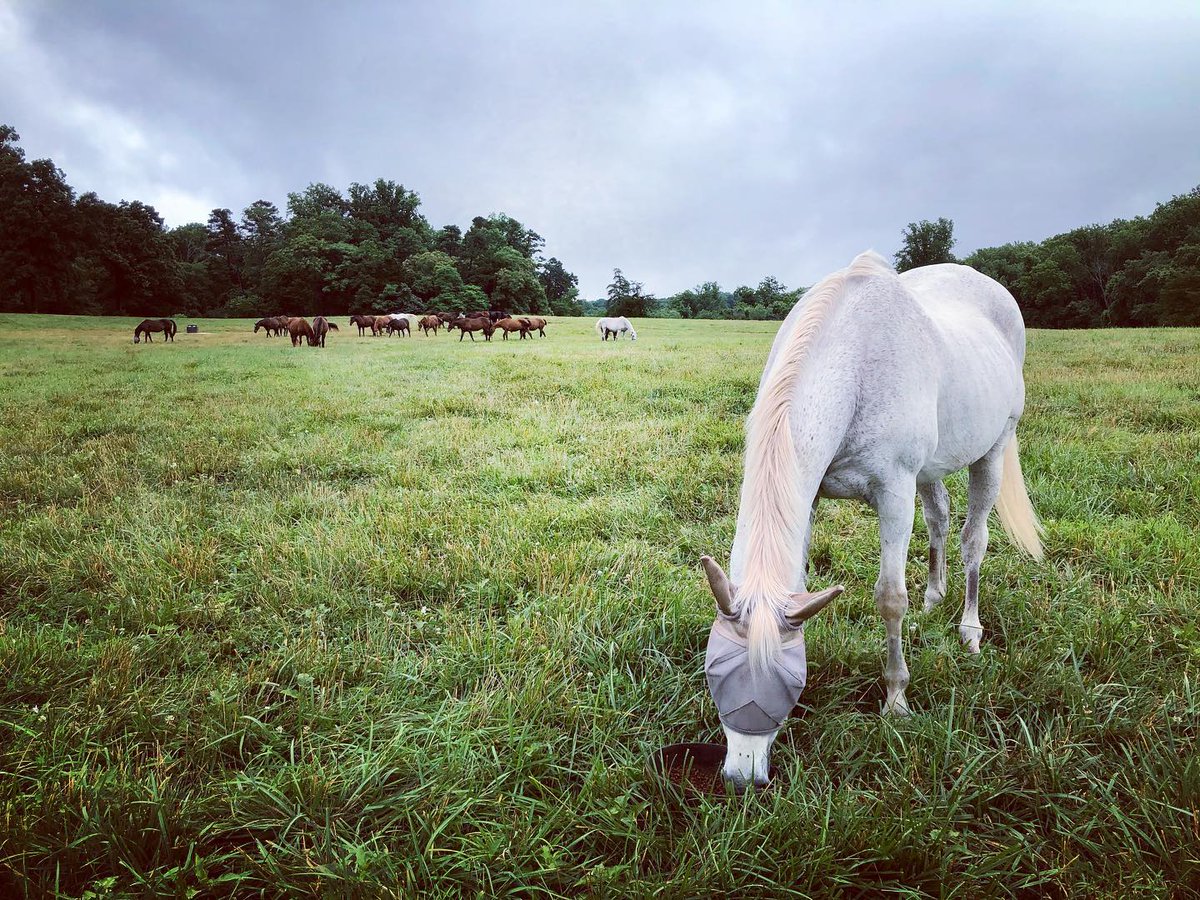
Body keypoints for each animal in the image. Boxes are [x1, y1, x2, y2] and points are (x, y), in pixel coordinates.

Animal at [699, 251, 1043, 790]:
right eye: (716, 674)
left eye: (784, 682)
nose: (743, 776)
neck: (855, 365)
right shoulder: (810, 496)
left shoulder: (894, 492)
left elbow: (889, 598)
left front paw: (897, 701)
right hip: (931, 469)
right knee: (940, 518)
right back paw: (933, 599)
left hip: (994, 449)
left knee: (973, 539)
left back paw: (969, 630)